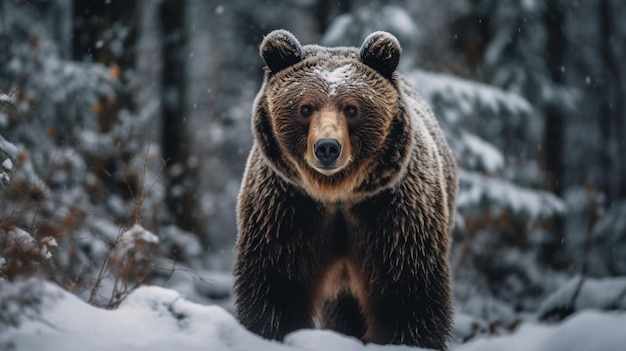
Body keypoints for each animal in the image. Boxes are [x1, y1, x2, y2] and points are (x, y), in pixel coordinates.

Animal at [232, 30, 456, 351]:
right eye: (305, 107)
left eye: (352, 108)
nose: (327, 147)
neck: (337, 193)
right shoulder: (286, 208)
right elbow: (276, 285)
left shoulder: (392, 211)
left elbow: (407, 293)